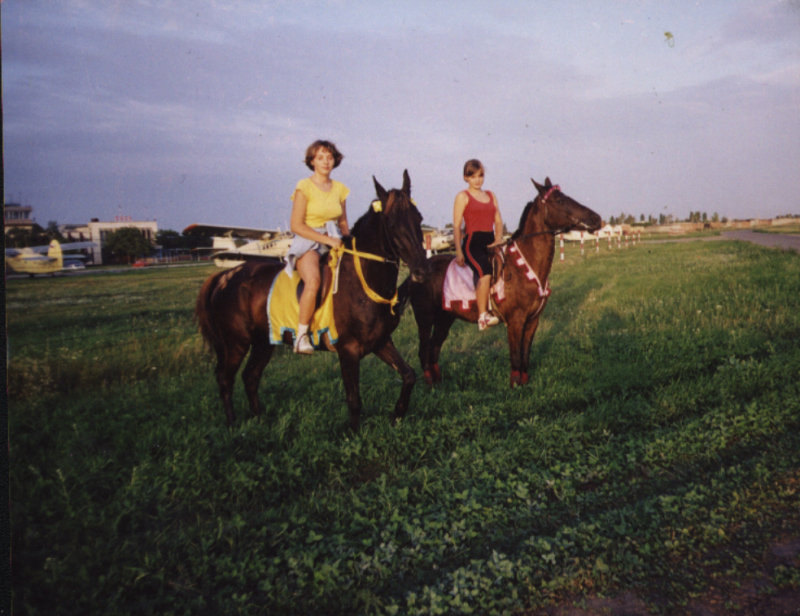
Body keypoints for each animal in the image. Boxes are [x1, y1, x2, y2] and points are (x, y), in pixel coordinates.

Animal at [196, 168, 428, 428]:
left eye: (418, 218)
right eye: (391, 222)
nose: (421, 271)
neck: (362, 281)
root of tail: (224, 276)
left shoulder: (380, 341)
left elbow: (409, 375)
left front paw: (397, 413)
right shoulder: (348, 350)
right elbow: (354, 399)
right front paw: (353, 432)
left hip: (263, 342)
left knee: (250, 376)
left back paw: (259, 418)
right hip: (235, 343)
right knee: (225, 378)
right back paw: (233, 424)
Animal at [406, 178, 600, 388]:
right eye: (559, 200)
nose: (596, 218)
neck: (522, 267)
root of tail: (416, 272)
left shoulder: (532, 321)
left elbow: (525, 355)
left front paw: (524, 382)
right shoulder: (515, 321)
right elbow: (515, 356)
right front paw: (515, 385)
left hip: (445, 318)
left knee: (434, 348)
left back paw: (438, 382)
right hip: (424, 319)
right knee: (424, 351)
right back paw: (430, 383)